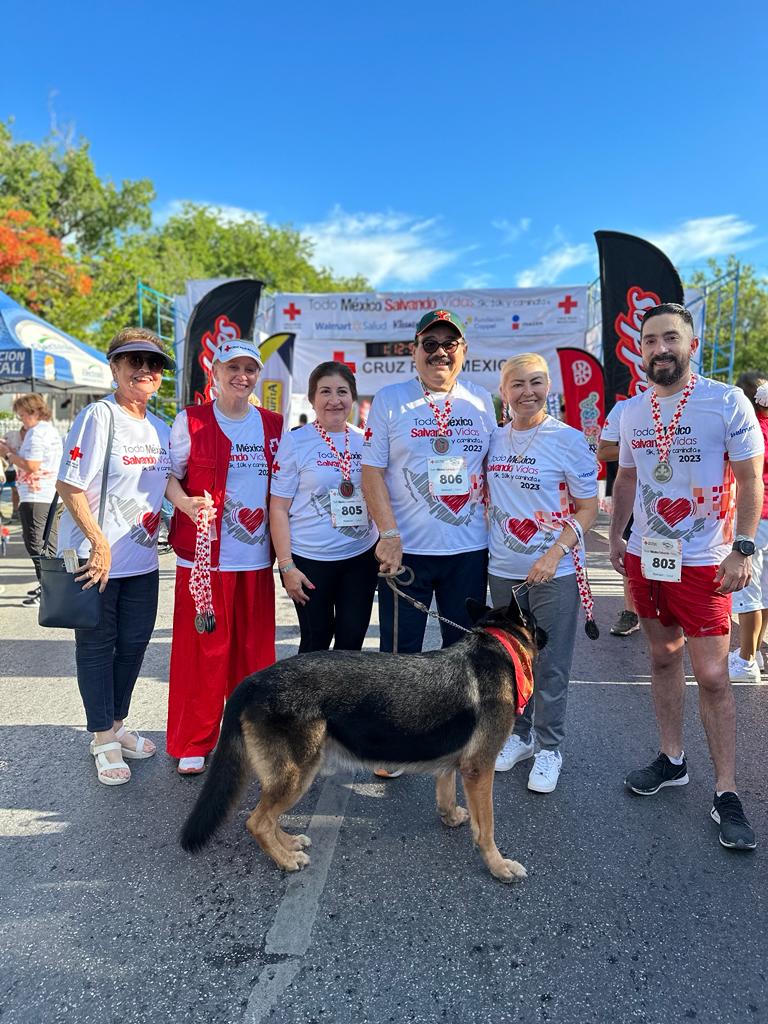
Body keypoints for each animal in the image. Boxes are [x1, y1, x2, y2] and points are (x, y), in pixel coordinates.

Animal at [180, 598, 544, 884]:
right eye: (535, 622)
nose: (548, 634)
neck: (498, 643)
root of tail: (251, 682)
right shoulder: (480, 770)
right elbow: (487, 828)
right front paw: (498, 866)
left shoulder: (456, 764)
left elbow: (445, 791)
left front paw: (451, 816)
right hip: (298, 774)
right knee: (256, 822)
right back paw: (285, 860)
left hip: (291, 776)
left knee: (267, 819)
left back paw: (289, 844)